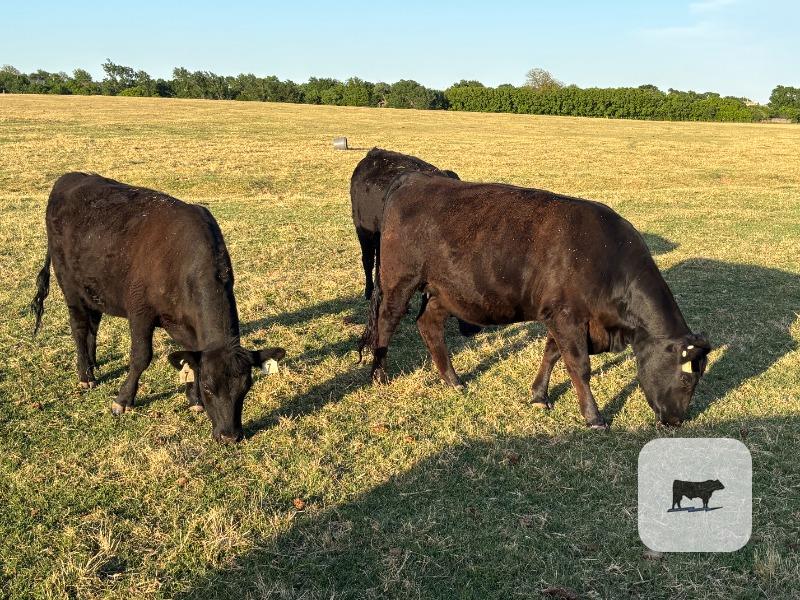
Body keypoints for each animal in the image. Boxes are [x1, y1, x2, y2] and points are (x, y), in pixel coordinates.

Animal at [30, 173, 285, 442]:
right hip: (70, 286)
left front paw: (193, 399)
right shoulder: (140, 312)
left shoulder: (183, 323)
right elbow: (141, 357)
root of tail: (69, 177)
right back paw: (85, 376)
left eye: (246, 387)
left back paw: (93, 363)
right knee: (79, 328)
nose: (230, 436)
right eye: (208, 386)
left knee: (92, 325)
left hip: (95, 290)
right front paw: (123, 400)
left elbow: (190, 358)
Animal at [359, 173, 711, 428]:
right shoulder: (567, 316)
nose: (677, 420)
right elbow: (579, 366)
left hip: (445, 291)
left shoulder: (559, 316)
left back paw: (453, 381)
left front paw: (539, 395)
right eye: (686, 378)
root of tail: (414, 179)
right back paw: (379, 375)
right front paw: (593, 416)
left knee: (429, 325)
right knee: (386, 322)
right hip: (399, 280)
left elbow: (552, 354)